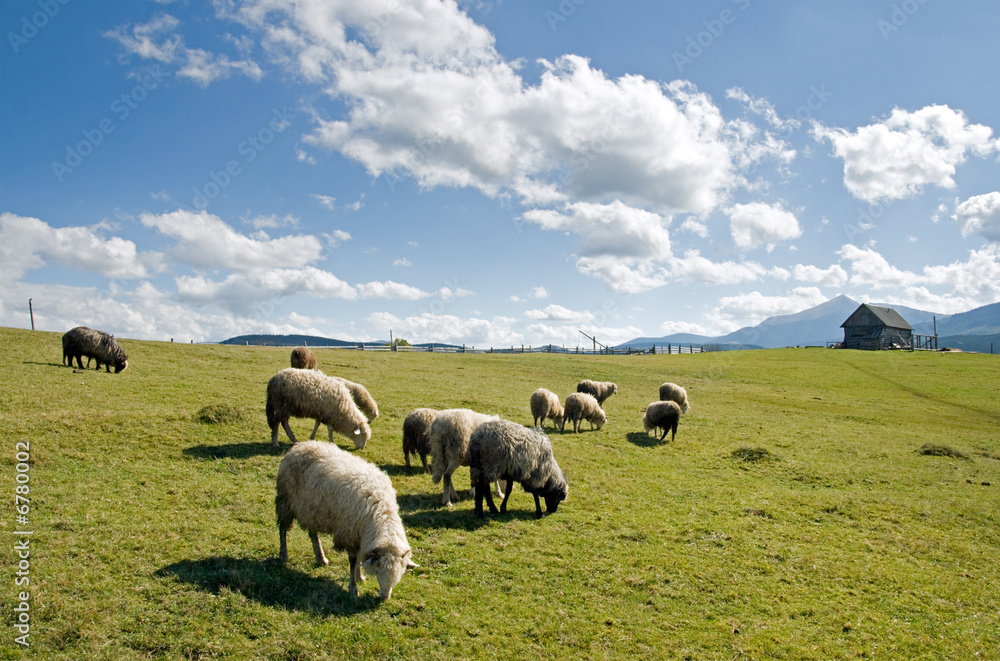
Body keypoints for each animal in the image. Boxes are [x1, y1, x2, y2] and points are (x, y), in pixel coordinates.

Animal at [276, 441, 417, 600]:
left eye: (398, 574)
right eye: (377, 571)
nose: (384, 597)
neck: (380, 510)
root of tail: (301, 445)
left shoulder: (360, 536)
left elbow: (359, 559)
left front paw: (359, 577)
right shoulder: (349, 533)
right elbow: (353, 560)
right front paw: (353, 587)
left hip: (312, 510)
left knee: (313, 534)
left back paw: (321, 558)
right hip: (285, 501)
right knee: (283, 528)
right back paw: (284, 554)